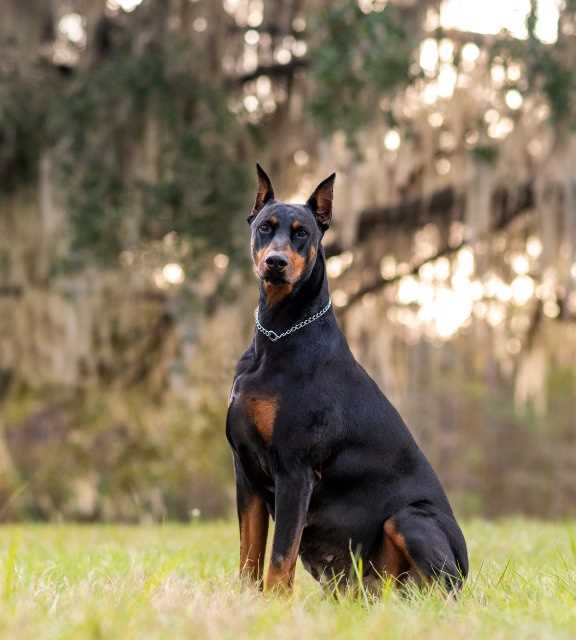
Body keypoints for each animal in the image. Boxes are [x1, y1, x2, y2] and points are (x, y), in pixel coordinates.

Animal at [225, 165, 468, 596]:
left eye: (302, 232)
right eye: (265, 227)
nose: (275, 263)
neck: (277, 335)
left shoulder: (295, 470)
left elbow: (280, 559)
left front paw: (274, 605)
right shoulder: (246, 470)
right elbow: (249, 557)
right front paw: (245, 602)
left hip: (410, 519)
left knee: (444, 589)